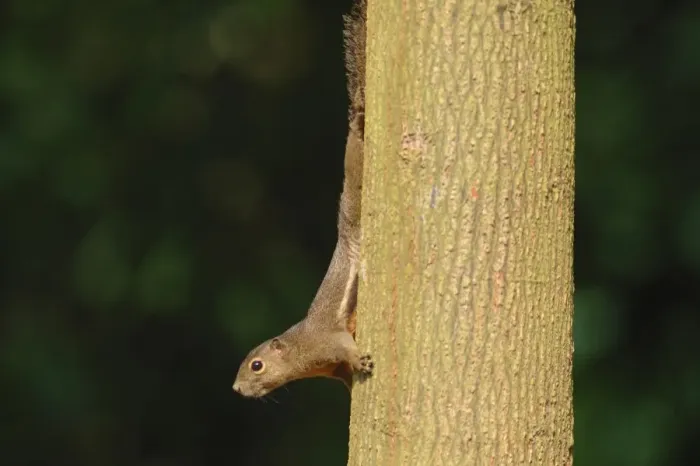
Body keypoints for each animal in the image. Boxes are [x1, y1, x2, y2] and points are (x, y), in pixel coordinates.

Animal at [232, 0, 370, 398]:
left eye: (257, 366)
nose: (237, 389)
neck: (299, 354)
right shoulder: (332, 367)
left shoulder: (326, 342)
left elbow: (345, 346)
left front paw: (361, 361)